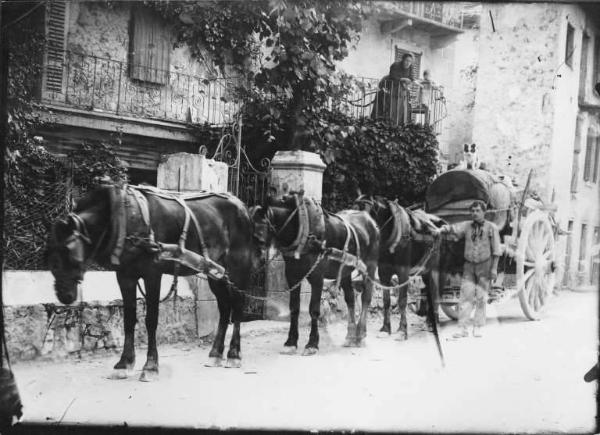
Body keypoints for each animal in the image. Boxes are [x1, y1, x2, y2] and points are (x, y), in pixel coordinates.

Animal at [47, 184, 260, 382]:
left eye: (69, 250)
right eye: (51, 252)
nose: (64, 295)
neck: (122, 219)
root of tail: (243, 207)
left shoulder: (153, 274)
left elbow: (151, 320)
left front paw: (150, 366)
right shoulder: (125, 276)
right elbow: (129, 319)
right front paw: (124, 363)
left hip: (237, 267)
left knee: (238, 305)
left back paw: (233, 354)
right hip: (216, 273)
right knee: (224, 308)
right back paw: (215, 354)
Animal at [251, 192, 378, 354]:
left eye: (259, 233)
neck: (302, 228)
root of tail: (369, 219)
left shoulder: (317, 277)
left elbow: (314, 310)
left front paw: (312, 344)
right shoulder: (292, 276)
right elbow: (294, 308)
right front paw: (291, 342)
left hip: (370, 267)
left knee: (366, 297)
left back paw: (361, 334)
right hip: (344, 271)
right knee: (350, 299)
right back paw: (350, 336)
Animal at [354, 194, 442, 340]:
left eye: (367, 215)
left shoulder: (403, 272)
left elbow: (402, 300)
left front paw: (402, 329)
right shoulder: (383, 272)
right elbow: (386, 301)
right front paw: (385, 328)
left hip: (434, 269)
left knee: (435, 294)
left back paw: (434, 323)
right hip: (425, 271)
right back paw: (428, 322)